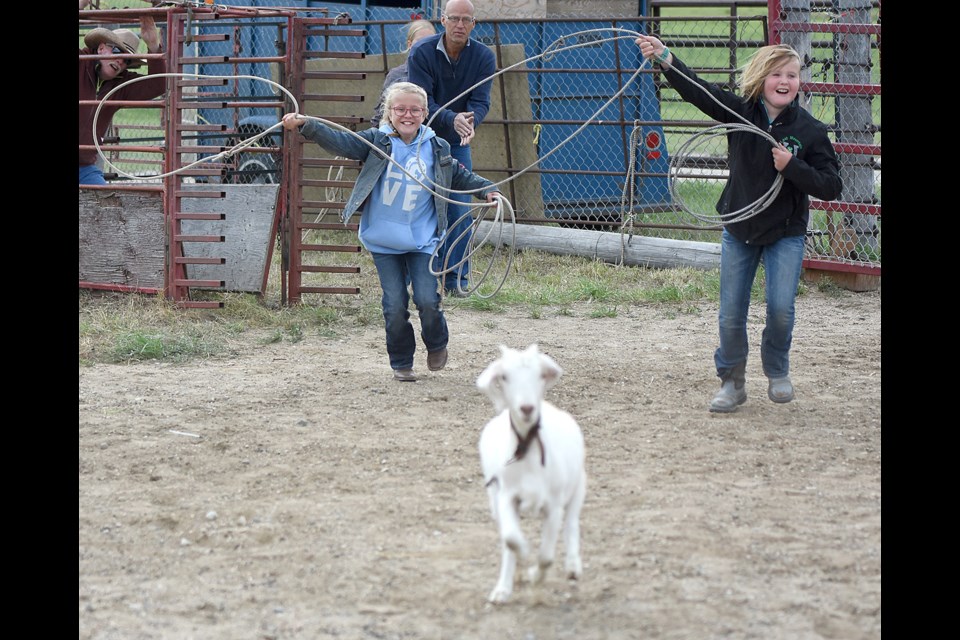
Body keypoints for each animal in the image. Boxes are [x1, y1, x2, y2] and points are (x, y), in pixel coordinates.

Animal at [474, 342, 584, 604]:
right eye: (504, 376)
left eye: (541, 375)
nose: (527, 408)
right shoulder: (506, 497)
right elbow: (511, 540)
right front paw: (520, 563)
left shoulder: (553, 506)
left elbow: (546, 557)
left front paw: (535, 575)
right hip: (494, 500)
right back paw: (505, 586)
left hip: (579, 487)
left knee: (572, 525)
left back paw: (573, 566)